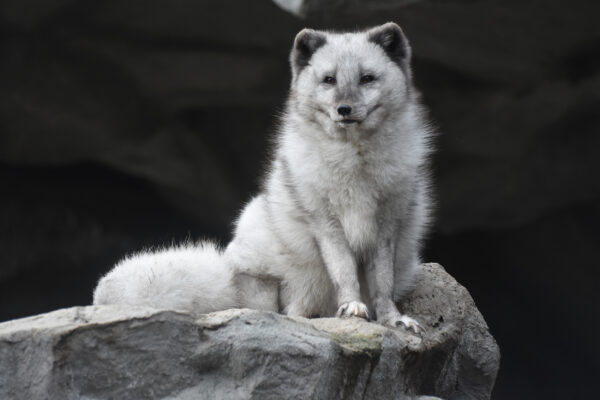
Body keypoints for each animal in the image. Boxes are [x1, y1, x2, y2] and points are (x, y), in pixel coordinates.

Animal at [92, 22, 432, 334]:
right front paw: (352, 307)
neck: (354, 162)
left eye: (367, 78)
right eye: (329, 80)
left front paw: (392, 318)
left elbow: (382, 282)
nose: (344, 109)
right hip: (263, 249)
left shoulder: (387, 224)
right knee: (284, 310)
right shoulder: (325, 222)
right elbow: (344, 271)